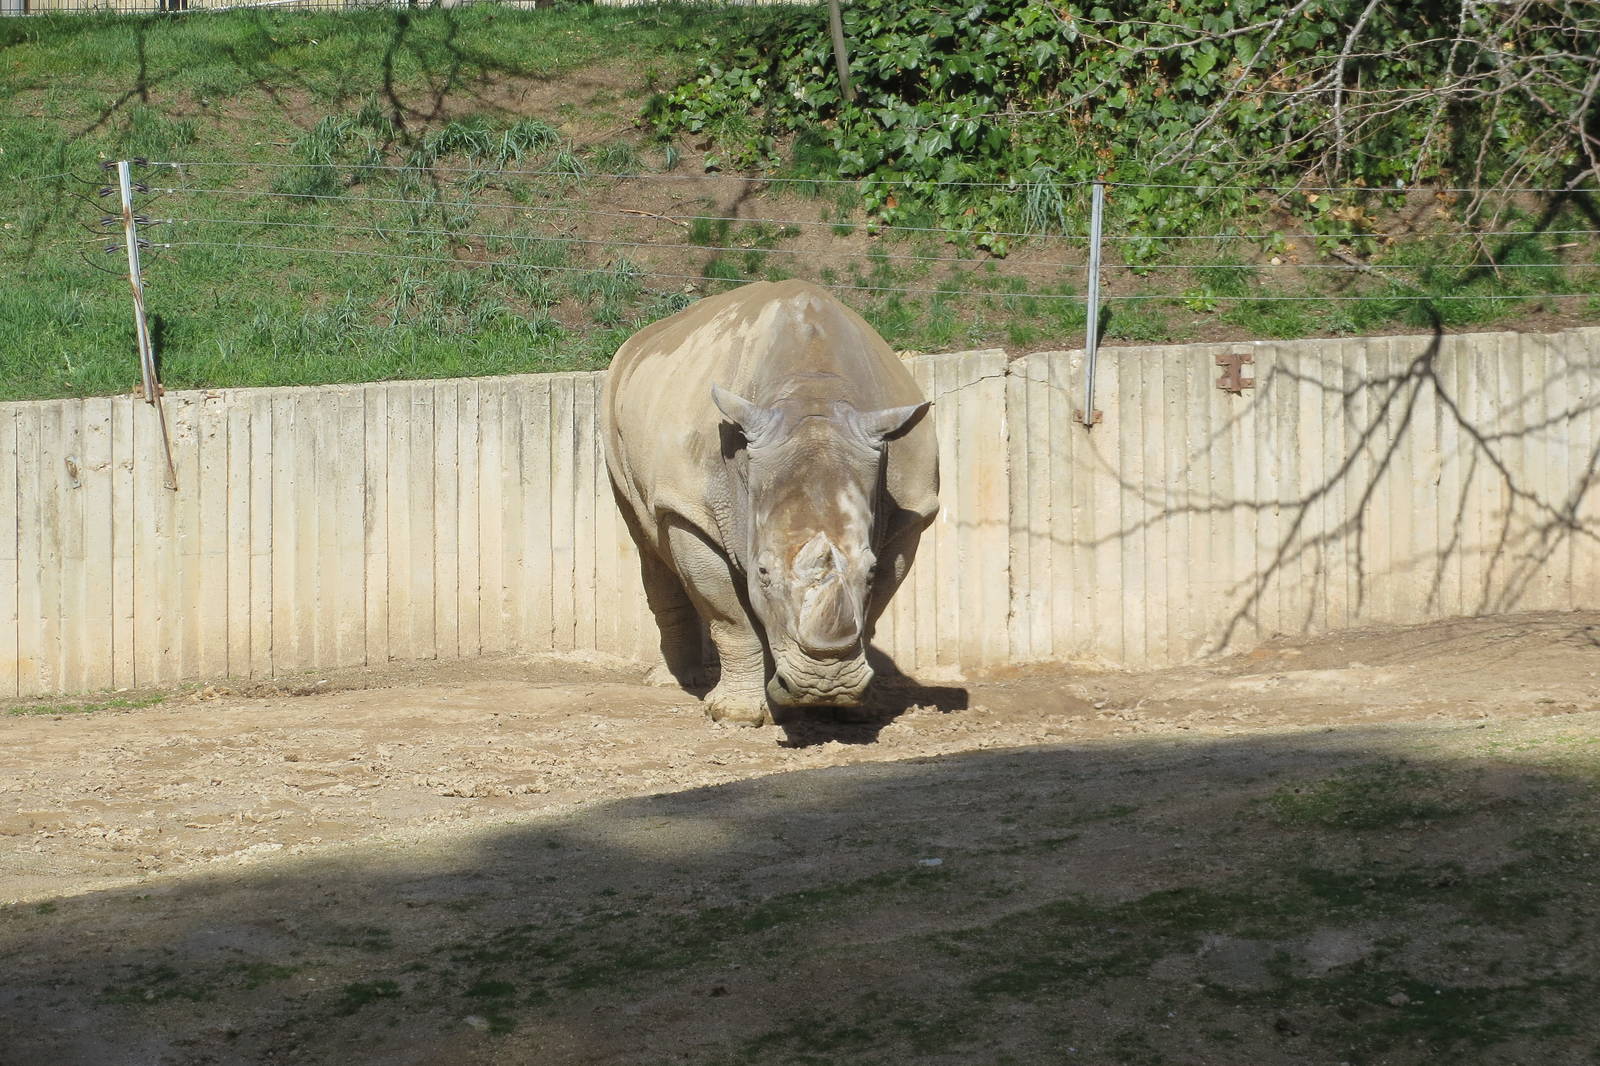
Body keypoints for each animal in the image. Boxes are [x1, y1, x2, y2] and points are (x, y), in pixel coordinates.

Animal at [603, 280, 939, 725]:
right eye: (762, 571)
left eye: (869, 570)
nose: (823, 688)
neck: (814, 401)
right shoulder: (691, 509)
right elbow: (730, 617)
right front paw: (737, 714)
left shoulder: (910, 513)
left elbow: (877, 602)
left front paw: (860, 709)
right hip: (617, 404)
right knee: (646, 539)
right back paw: (676, 682)